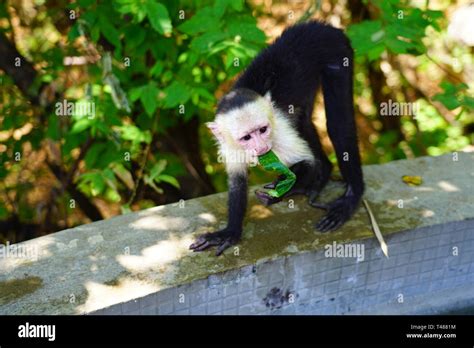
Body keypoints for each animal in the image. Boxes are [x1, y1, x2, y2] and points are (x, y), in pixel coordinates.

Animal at [191, 21, 364, 256]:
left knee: (339, 124)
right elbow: (237, 182)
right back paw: (325, 174)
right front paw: (230, 232)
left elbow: (308, 161)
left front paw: (289, 188)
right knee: (303, 118)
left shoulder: (279, 131)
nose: (262, 146)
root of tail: (320, 25)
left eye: (263, 130)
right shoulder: (229, 145)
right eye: (246, 137)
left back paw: (351, 195)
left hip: (337, 51)